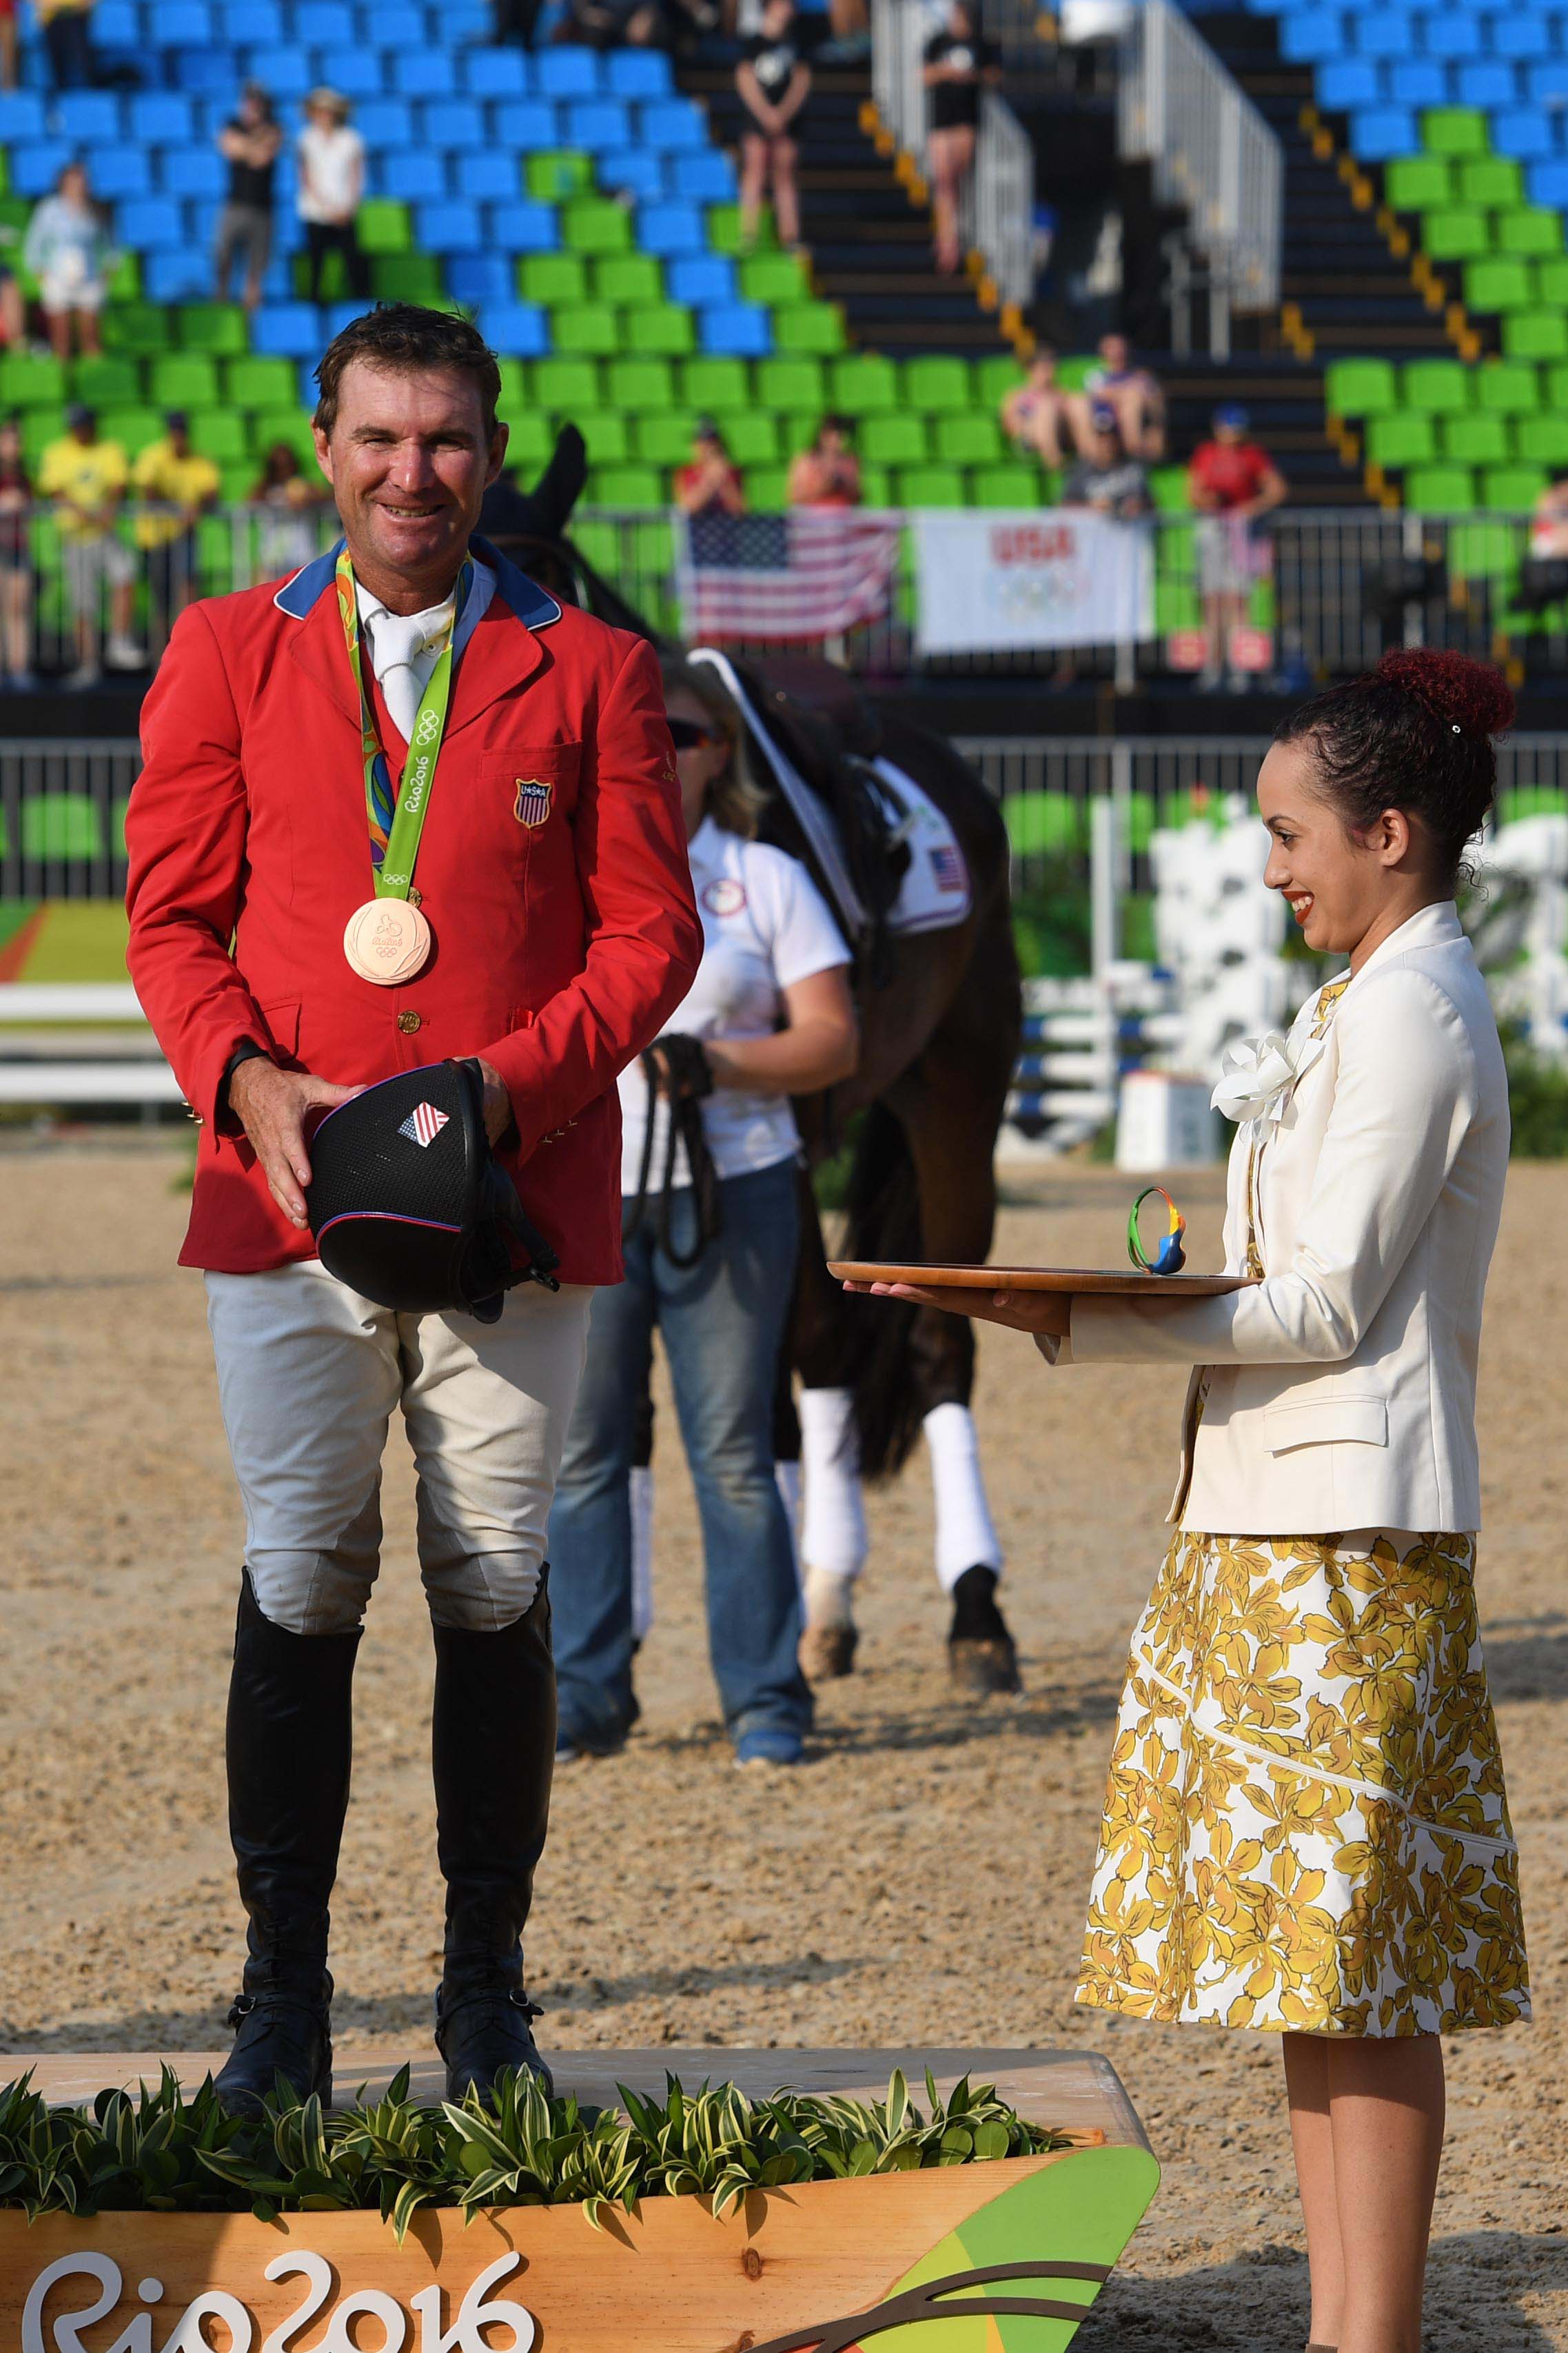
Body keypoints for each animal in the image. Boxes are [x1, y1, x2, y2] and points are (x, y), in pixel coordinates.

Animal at [491, 449, 1029, 1694]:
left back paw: (974, 1614)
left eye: (531, 585)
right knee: (827, 1353)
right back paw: (823, 1599)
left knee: (935, 1344)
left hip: (953, 1100)